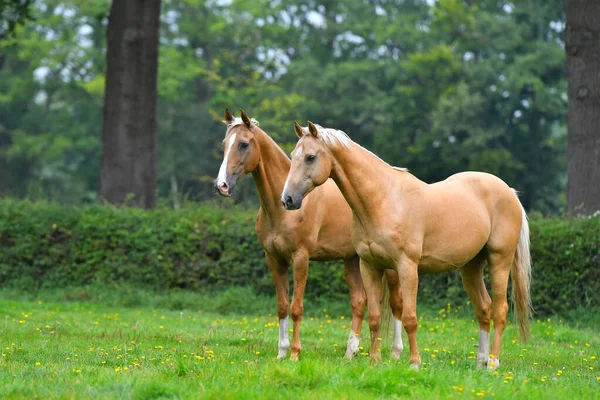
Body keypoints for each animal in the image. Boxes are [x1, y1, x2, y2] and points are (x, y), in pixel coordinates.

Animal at [213, 110, 406, 362]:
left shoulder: (300, 258)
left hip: (388, 266)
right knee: (359, 301)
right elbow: (282, 306)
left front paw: (295, 353)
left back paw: (395, 353)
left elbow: (296, 308)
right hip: (352, 260)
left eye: (244, 144)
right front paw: (281, 353)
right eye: (225, 144)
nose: (222, 186)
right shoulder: (274, 260)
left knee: (396, 303)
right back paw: (350, 353)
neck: (281, 211)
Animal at [284, 120, 532, 370]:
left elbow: (410, 318)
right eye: (293, 155)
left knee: (500, 310)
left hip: (499, 261)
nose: (287, 199)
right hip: (471, 267)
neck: (383, 200)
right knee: (484, 308)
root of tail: (510, 192)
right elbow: (374, 317)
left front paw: (414, 363)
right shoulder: (369, 267)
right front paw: (375, 360)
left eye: (310, 157)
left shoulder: (407, 267)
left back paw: (493, 364)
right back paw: (480, 364)